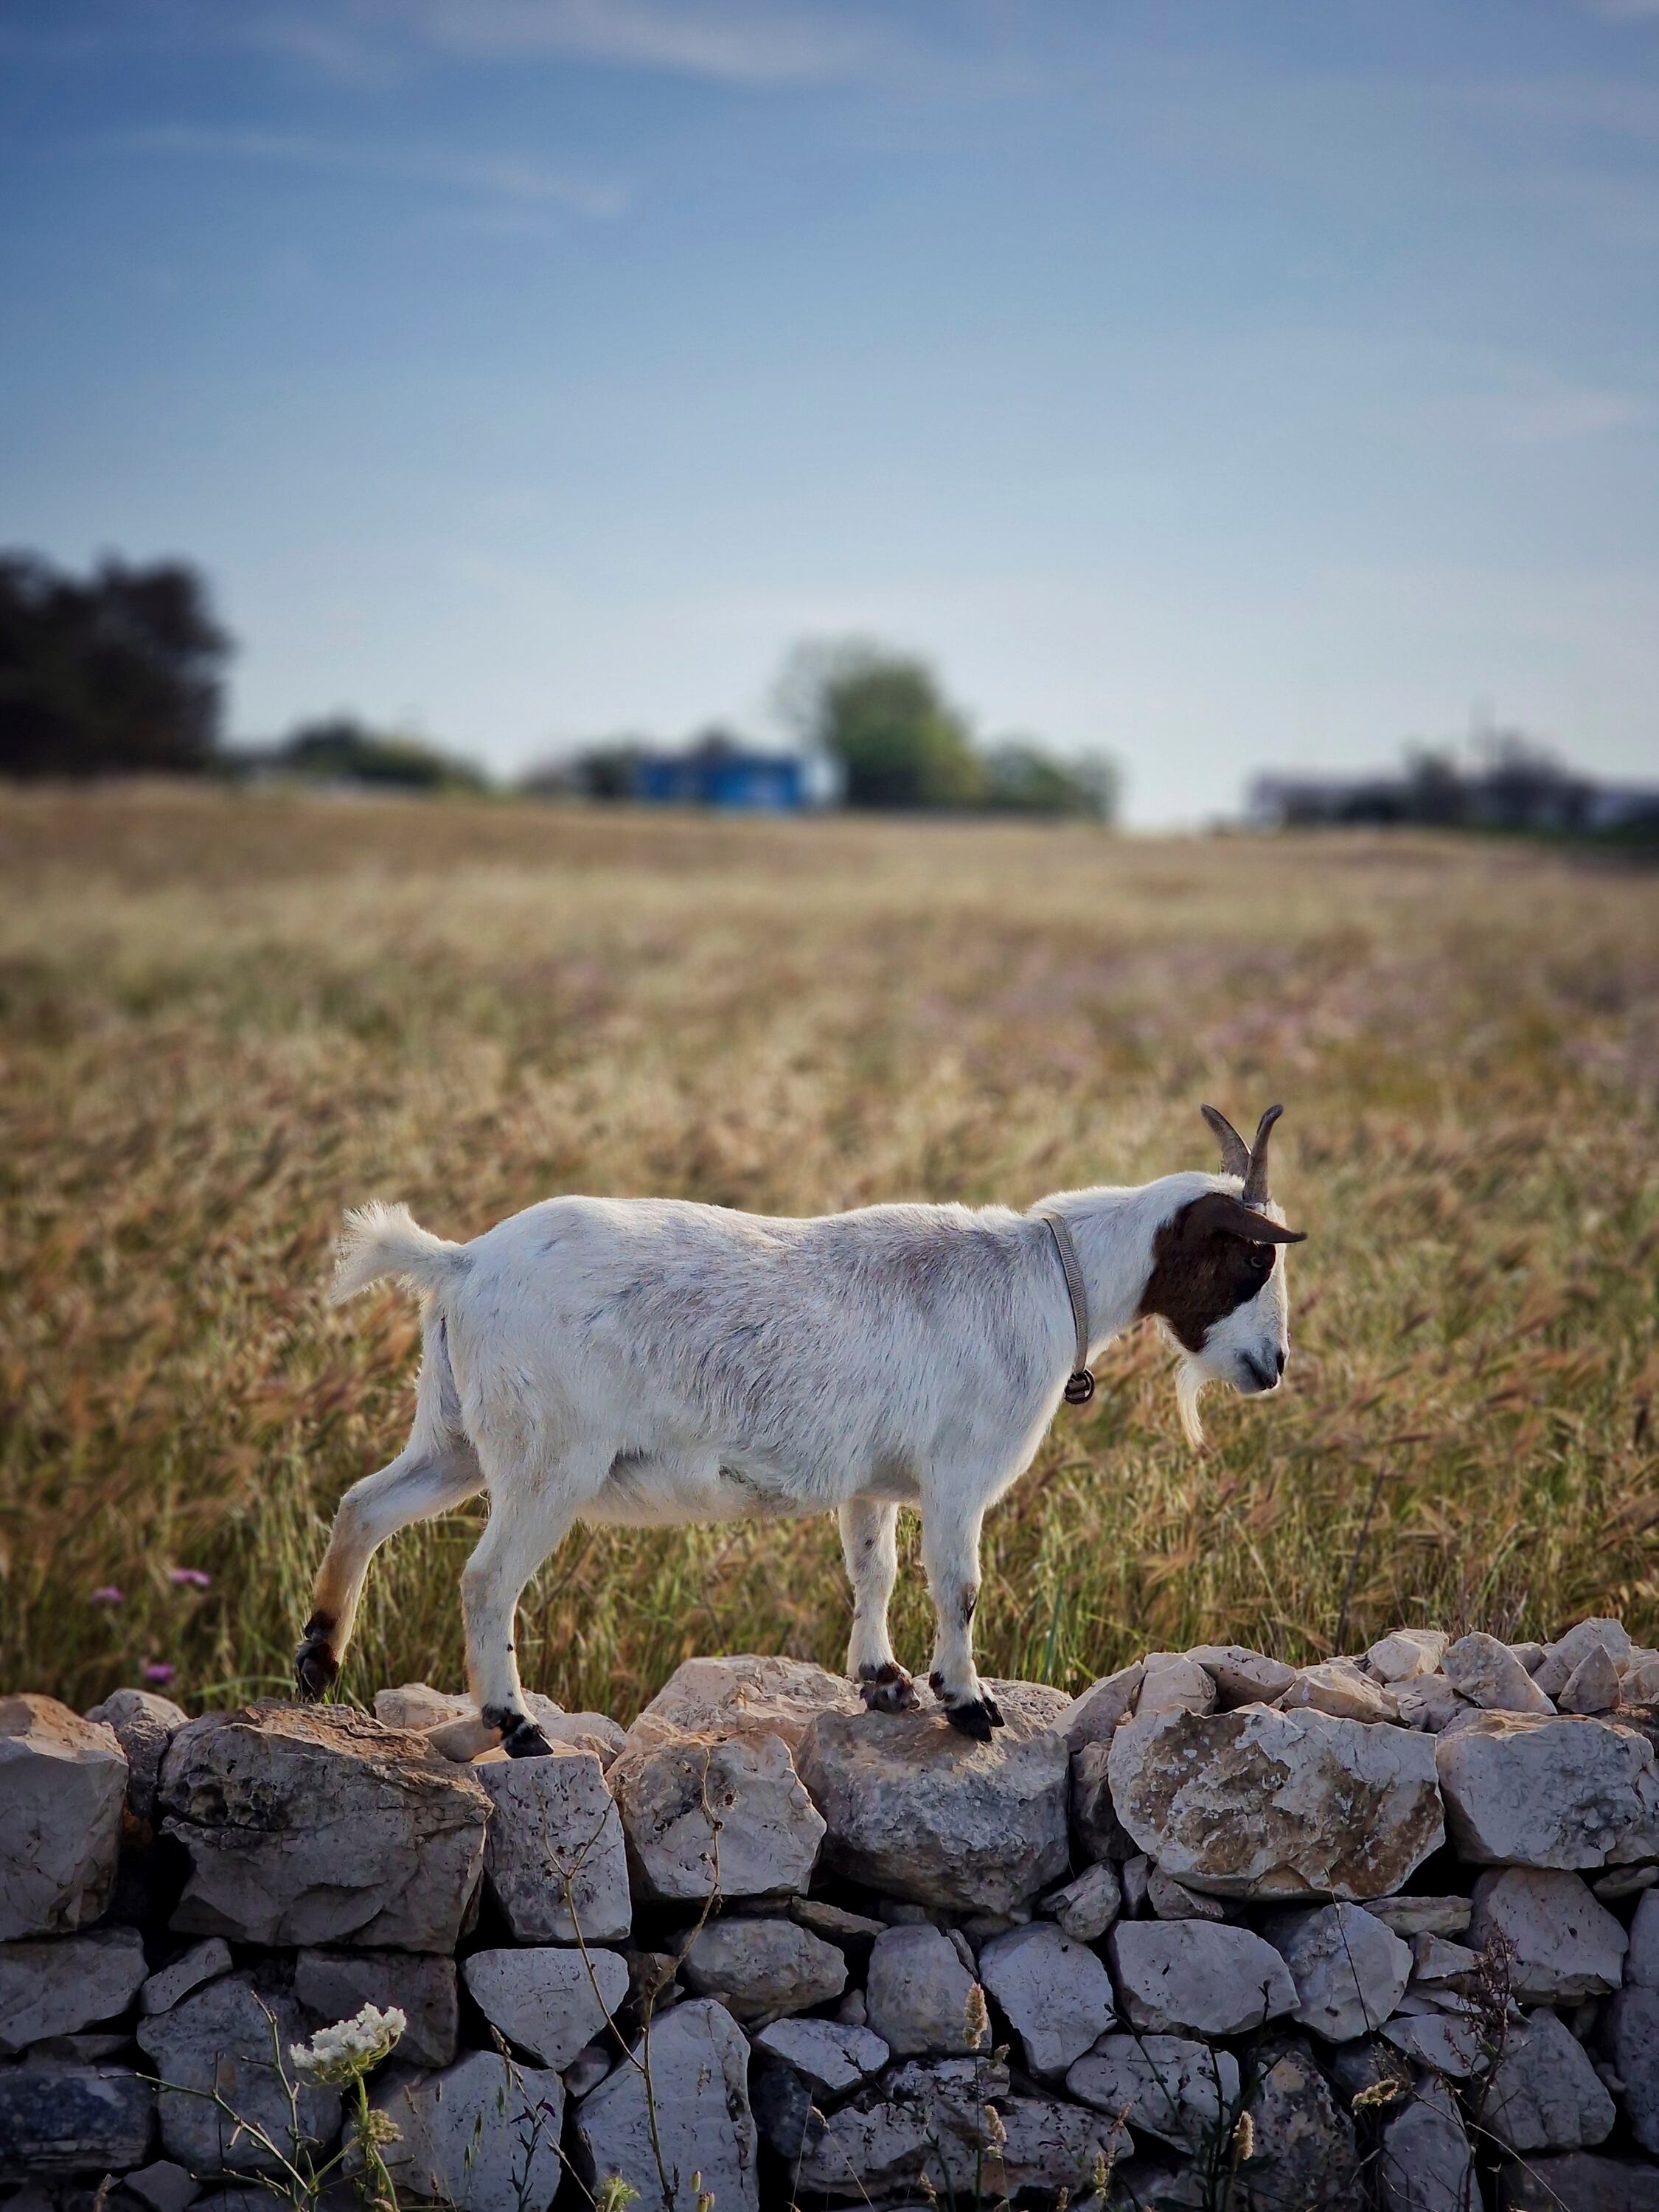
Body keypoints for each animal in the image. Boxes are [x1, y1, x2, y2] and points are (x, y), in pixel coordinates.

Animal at [299, 1102, 1310, 1743]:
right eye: (1253, 1259)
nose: (1272, 1366)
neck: (1043, 1277)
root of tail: (462, 1263)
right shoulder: (957, 1474)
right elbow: (959, 1586)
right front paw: (968, 1703)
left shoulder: (873, 1481)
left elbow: (874, 1572)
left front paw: (883, 1682)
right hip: (549, 1459)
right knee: (484, 1579)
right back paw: (513, 1725)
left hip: (458, 1436)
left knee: (365, 1505)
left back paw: (317, 1658)